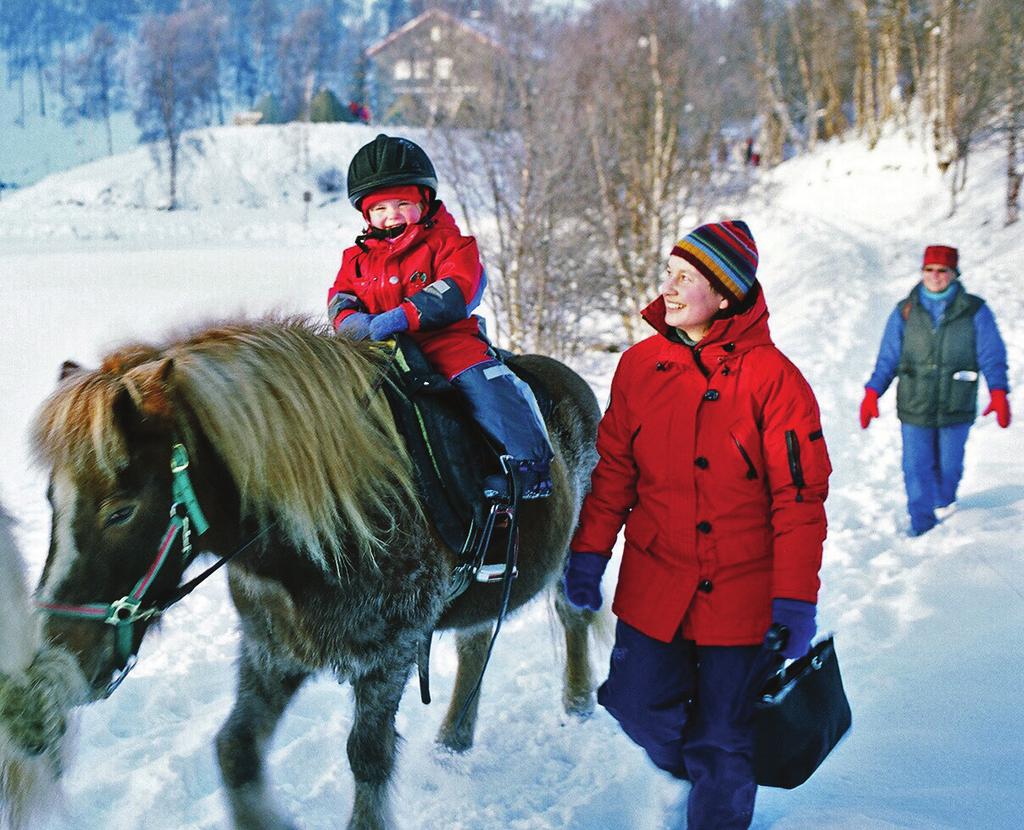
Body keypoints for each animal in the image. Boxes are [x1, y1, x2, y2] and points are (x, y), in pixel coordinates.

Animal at [28, 319, 602, 830]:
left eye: (120, 511)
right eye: (51, 499)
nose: (56, 661)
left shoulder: (390, 653)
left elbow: (368, 757)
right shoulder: (272, 649)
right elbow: (235, 749)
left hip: (577, 545)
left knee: (572, 612)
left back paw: (577, 703)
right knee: (476, 642)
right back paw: (453, 741)